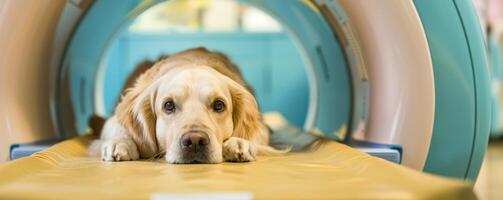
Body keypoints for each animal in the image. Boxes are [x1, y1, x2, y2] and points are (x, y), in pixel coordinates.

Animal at [90, 47, 286, 163]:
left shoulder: (261, 124)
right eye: (168, 105)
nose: (195, 141)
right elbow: (116, 126)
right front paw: (120, 143)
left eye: (219, 105)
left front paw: (239, 142)